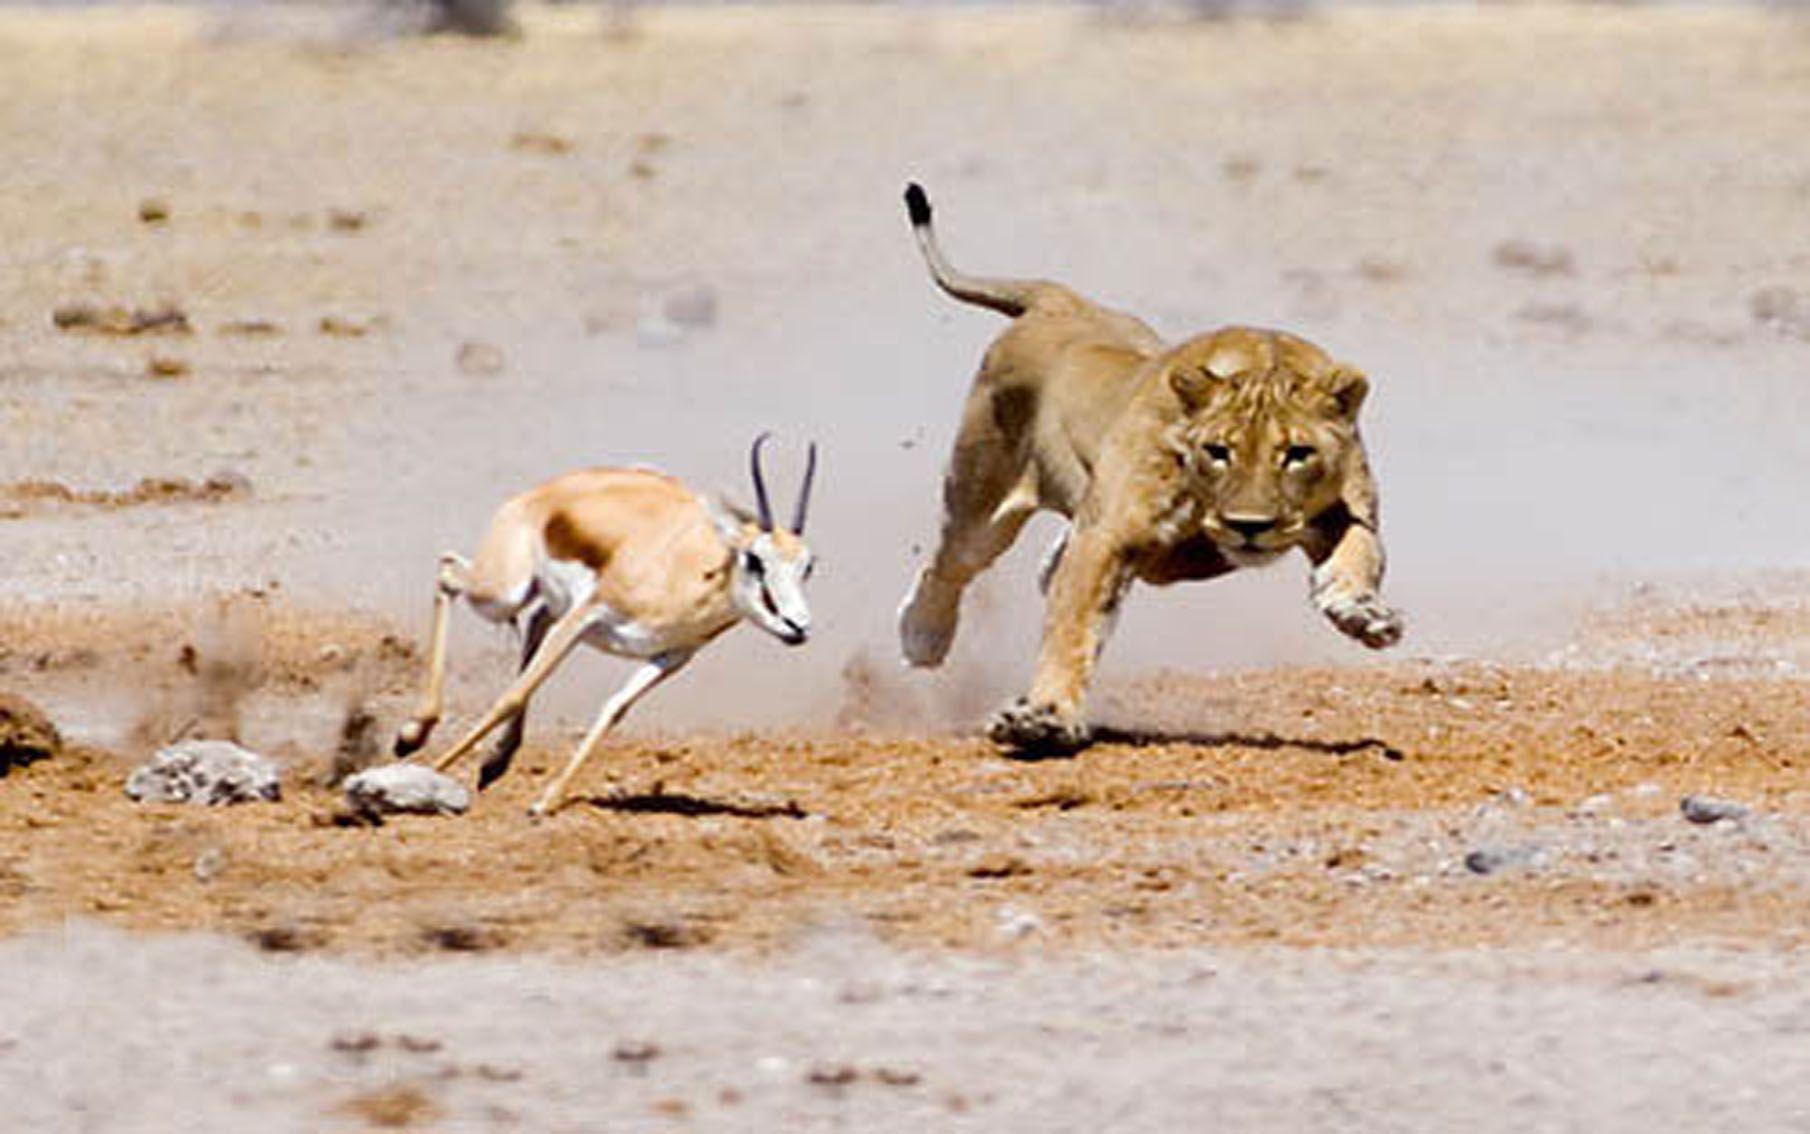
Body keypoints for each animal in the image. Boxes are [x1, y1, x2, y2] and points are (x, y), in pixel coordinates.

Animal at [393, 434, 819, 818]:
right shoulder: (587, 616)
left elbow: (613, 709)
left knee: (532, 619)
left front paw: (546, 801)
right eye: (755, 560)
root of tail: (544, 491)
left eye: (809, 565)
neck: (684, 571)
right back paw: (411, 736)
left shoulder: (672, 656)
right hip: (503, 593)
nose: (798, 626)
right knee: (448, 571)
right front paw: (430, 772)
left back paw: (491, 761)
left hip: (544, 604)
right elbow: (512, 695)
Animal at [896, 183, 1403, 753]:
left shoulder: (1348, 510)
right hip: (981, 495)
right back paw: (922, 634)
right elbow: (1071, 629)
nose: (1249, 527)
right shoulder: (1109, 535)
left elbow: (1358, 554)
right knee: (950, 564)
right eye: (1219, 451)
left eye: (1297, 454)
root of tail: (1058, 301)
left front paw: (1363, 613)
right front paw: (1044, 717)